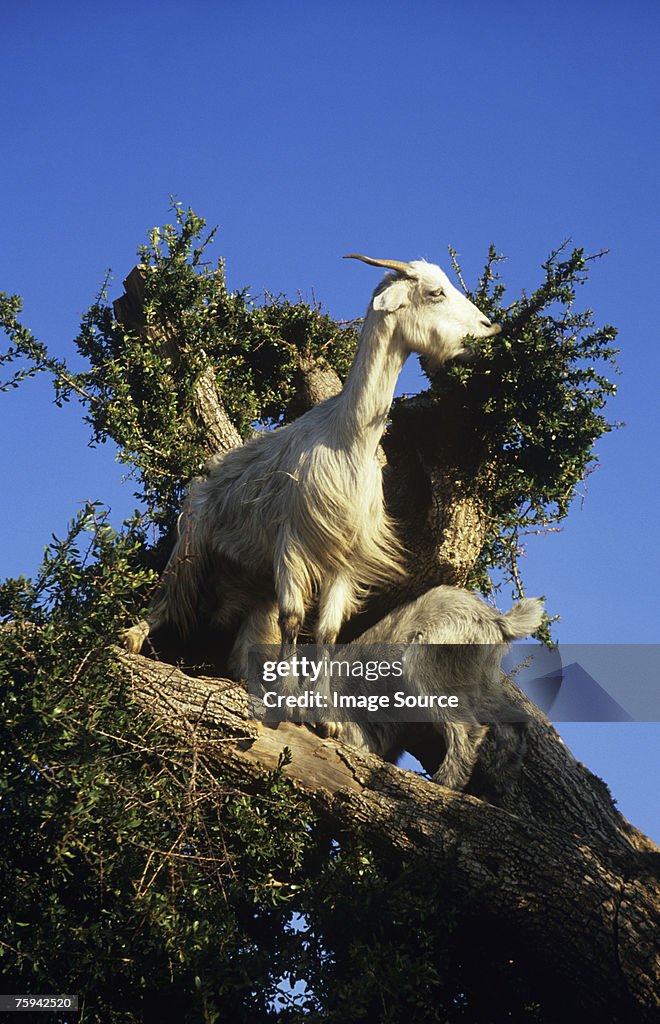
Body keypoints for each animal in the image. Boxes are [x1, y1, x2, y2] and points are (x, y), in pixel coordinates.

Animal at [123, 252, 499, 675]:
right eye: (435, 292)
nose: (489, 328)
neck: (347, 438)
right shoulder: (292, 543)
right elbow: (293, 619)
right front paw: (287, 690)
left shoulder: (344, 557)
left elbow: (327, 632)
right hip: (192, 540)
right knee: (170, 597)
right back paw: (131, 636)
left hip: (253, 583)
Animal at [317, 589, 544, 794]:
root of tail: (495, 620)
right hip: (477, 680)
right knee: (512, 720)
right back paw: (499, 782)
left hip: (432, 653)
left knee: (464, 727)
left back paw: (447, 781)